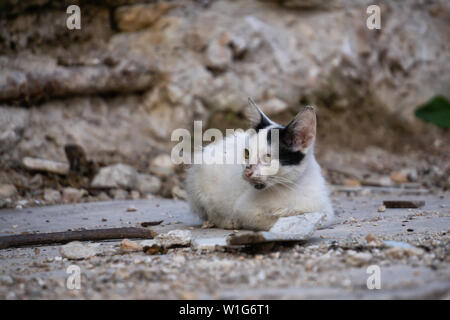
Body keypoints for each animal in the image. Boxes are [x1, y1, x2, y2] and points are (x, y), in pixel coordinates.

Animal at [185, 99, 336, 231]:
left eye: (268, 157)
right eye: (246, 153)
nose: (247, 171)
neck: (288, 187)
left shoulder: (324, 210)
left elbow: (314, 217)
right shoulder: (244, 209)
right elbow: (273, 220)